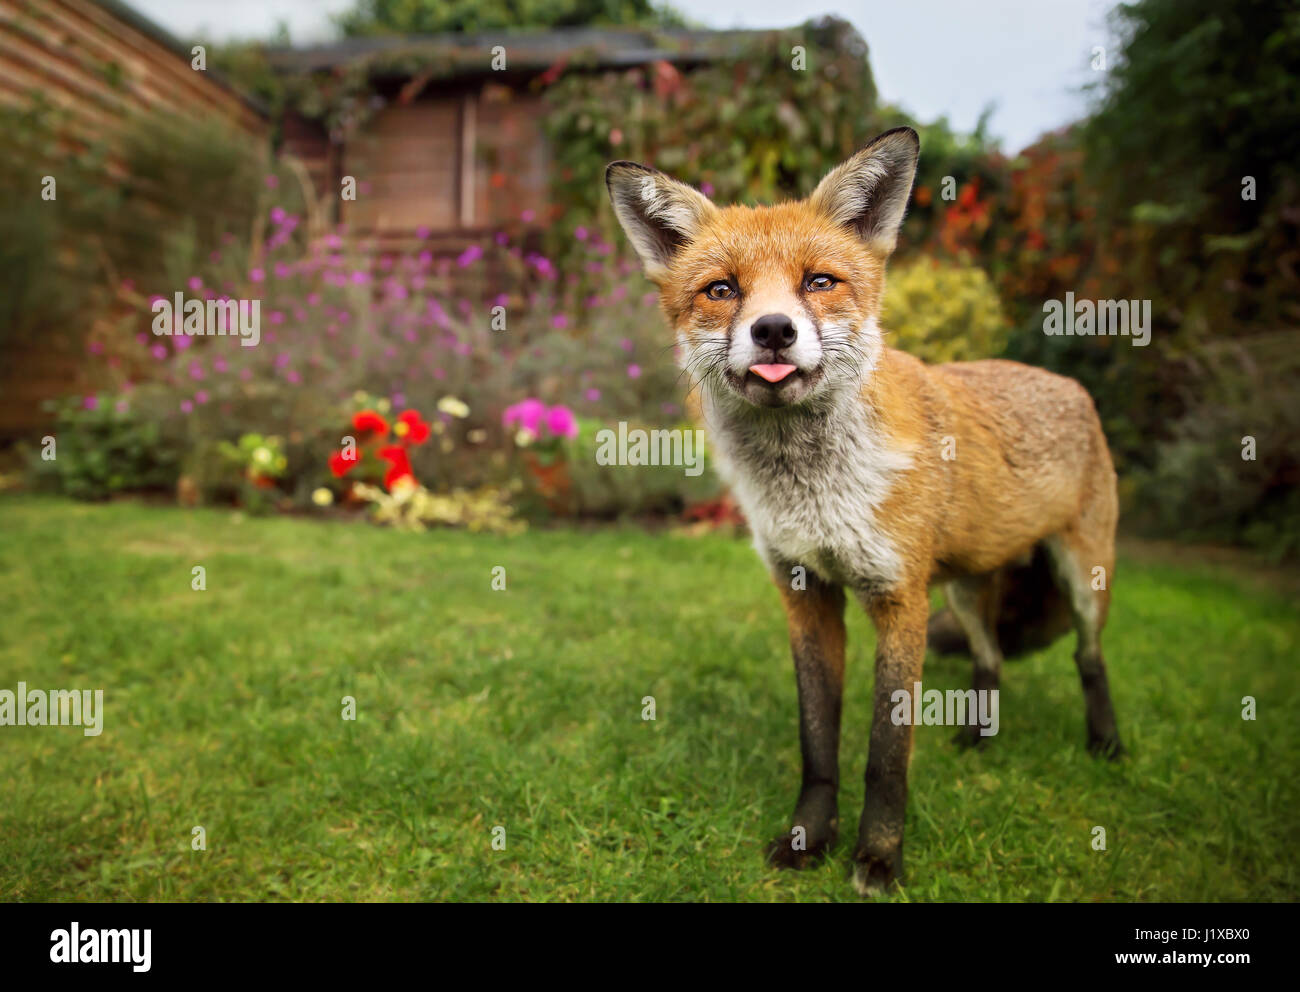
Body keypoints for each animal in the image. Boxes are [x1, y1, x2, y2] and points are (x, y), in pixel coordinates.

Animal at [603, 126, 1123, 899]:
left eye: (819, 282)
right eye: (722, 290)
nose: (774, 331)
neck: (813, 490)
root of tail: (1071, 387)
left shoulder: (898, 598)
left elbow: (885, 754)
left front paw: (879, 858)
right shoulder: (806, 592)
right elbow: (818, 742)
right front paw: (808, 839)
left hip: (1081, 578)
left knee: (1087, 657)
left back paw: (1106, 743)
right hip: (965, 590)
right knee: (990, 659)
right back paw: (977, 740)